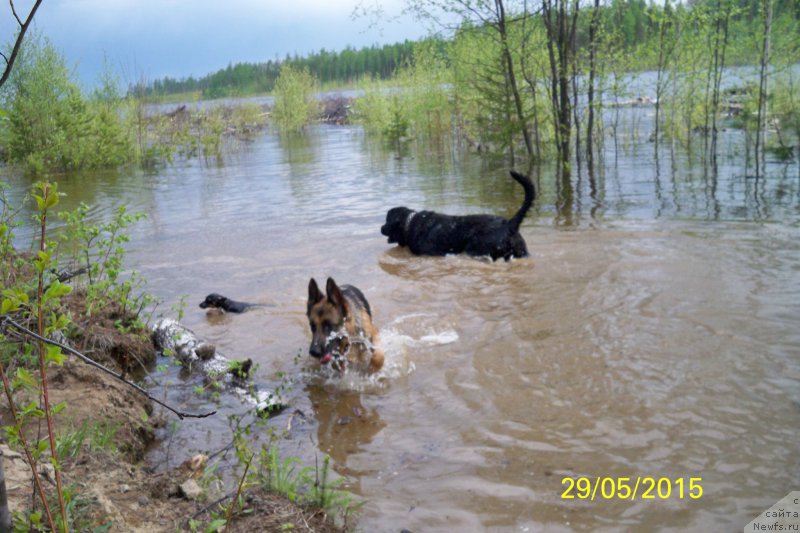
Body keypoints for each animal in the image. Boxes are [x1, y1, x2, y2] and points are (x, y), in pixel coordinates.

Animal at [382, 170, 536, 262]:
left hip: (475, 250)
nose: (381, 228)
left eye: (387, 219)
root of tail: (510, 224)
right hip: (521, 252)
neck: (409, 224)